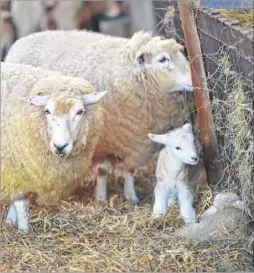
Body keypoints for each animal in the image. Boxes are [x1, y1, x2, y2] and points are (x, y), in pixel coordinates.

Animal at [0, 62, 107, 232]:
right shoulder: (13, 166)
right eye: (47, 111)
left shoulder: (17, 171)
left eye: (80, 111)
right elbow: (21, 204)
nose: (60, 146)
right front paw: (24, 230)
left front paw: (10, 222)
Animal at [5, 30, 194, 203]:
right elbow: (103, 170)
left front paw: (131, 196)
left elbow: (129, 170)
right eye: (163, 59)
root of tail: (20, 41)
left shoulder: (133, 141)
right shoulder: (102, 142)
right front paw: (101, 198)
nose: (193, 80)